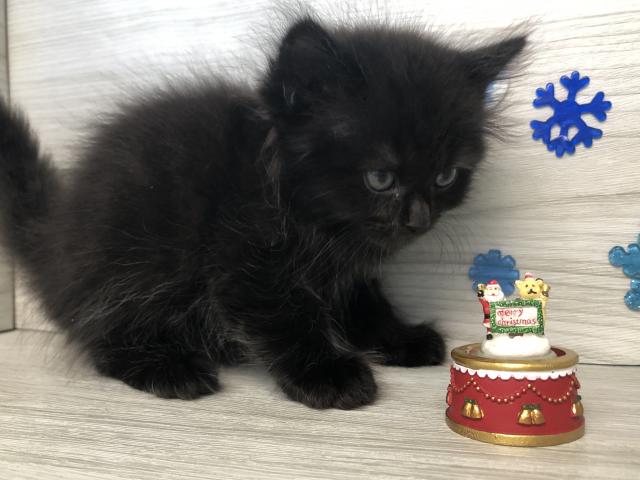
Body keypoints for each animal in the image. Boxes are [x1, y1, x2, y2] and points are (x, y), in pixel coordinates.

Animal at [0, 17, 525, 409]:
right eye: (380, 177)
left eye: (445, 176)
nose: (418, 219)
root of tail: (55, 230)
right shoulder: (244, 263)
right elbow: (286, 316)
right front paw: (328, 373)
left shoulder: (344, 270)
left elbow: (362, 301)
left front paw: (398, 336)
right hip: (131, 257)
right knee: (101, 336)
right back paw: (168, 366)